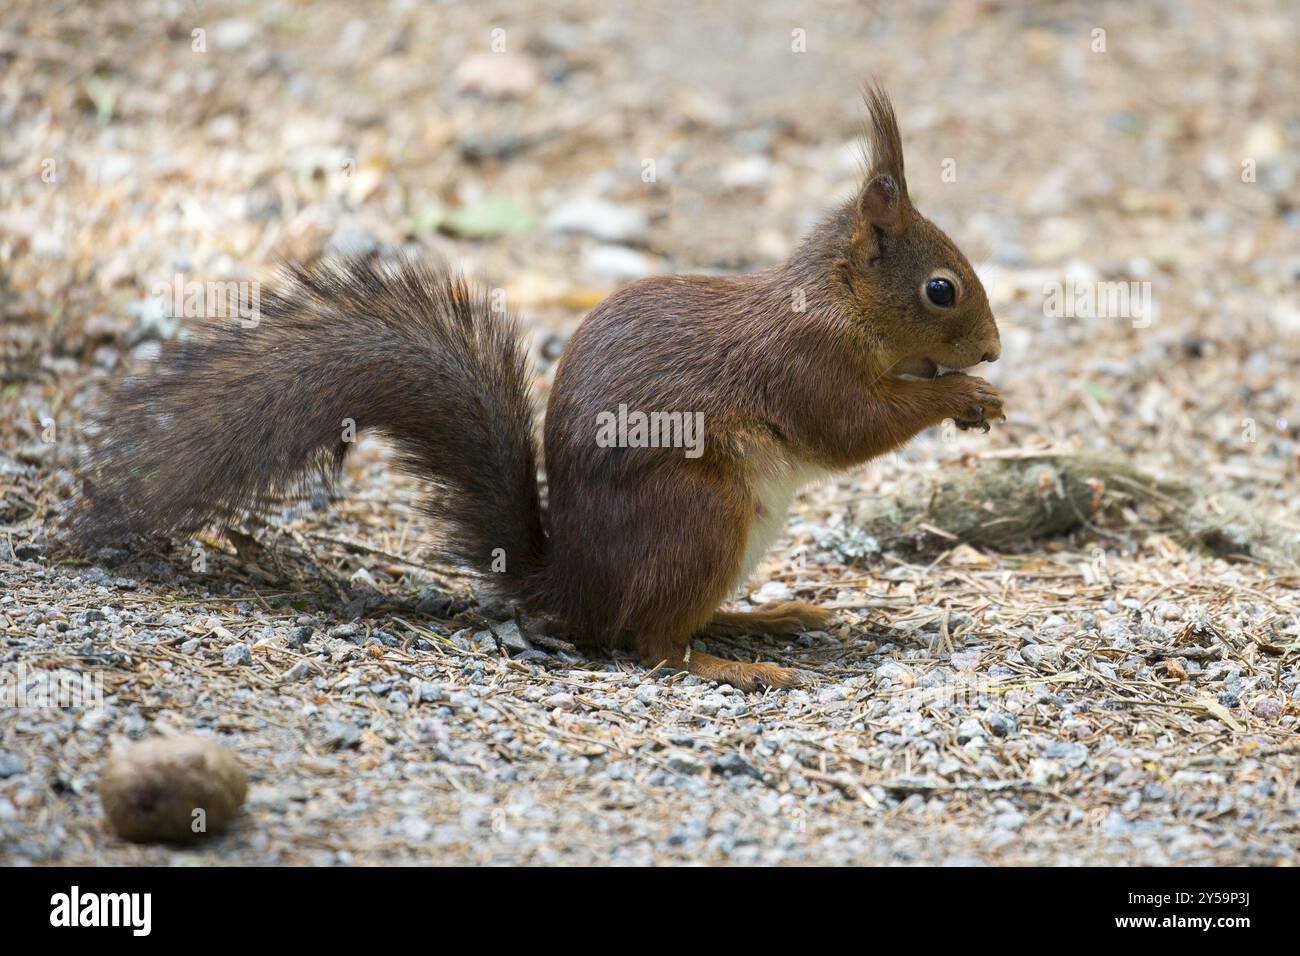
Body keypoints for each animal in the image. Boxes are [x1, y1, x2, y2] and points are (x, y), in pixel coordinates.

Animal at [65, 87, 1003, 686]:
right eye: (941, 289)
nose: (993, 352)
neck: (838, 301)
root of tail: (572, 583)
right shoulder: (804, 363)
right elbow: (853, 428)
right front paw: (959, 399)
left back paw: (764, 620)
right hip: (700, 516)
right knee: (650, 642)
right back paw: (741, 665)